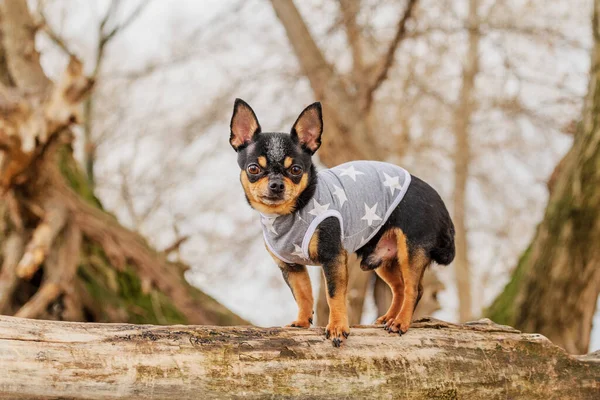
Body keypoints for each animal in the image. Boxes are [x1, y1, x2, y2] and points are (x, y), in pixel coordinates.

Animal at [230, 99, 454, 346]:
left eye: (296, 170)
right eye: (253, 168)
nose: (277, 184)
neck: (291, 213)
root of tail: (440, 203)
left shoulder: (333, 258)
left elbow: (334, 295)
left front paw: (337, 328)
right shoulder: (291, 267)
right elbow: (303, 295)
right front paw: (301, 322)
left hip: (410, 252)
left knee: (414, 289)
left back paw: (401, 322)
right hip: (383, 260)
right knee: (400, 288)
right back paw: (389, 317)